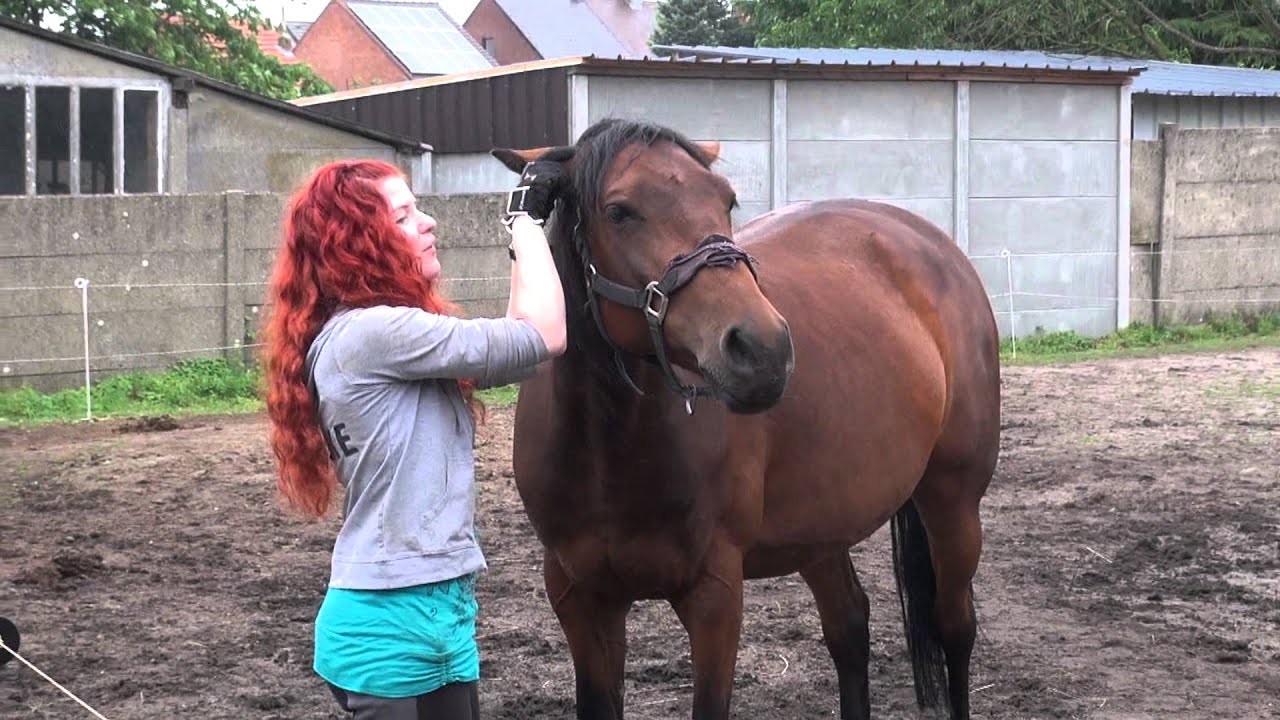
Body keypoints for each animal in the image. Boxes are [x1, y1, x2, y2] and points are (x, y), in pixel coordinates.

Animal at [490, 117, 1001, 720]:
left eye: (726, 200)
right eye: (619, 211)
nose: (764, 350)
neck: (609, 450)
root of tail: (932, 243)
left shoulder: (715, 597)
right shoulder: (580, 599)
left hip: (952, 499)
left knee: (955, 628)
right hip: (822, 524)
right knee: (849, 627)